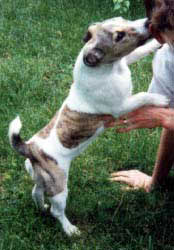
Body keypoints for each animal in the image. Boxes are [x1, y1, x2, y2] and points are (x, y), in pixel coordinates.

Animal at [8, 16, 169, 235]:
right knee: (57, 211)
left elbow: (138, 52)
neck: (109, 68)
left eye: (122, 20)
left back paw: (41, 208)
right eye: (119, 36)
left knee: (36, 192)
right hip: (59, 185)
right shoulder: (120, 106)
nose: (147, 22)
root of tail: (30, 149)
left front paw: (155, 44)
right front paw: (161, 100)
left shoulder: (126, 60)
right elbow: (143, 96)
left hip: (43, 179)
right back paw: (70, 230)